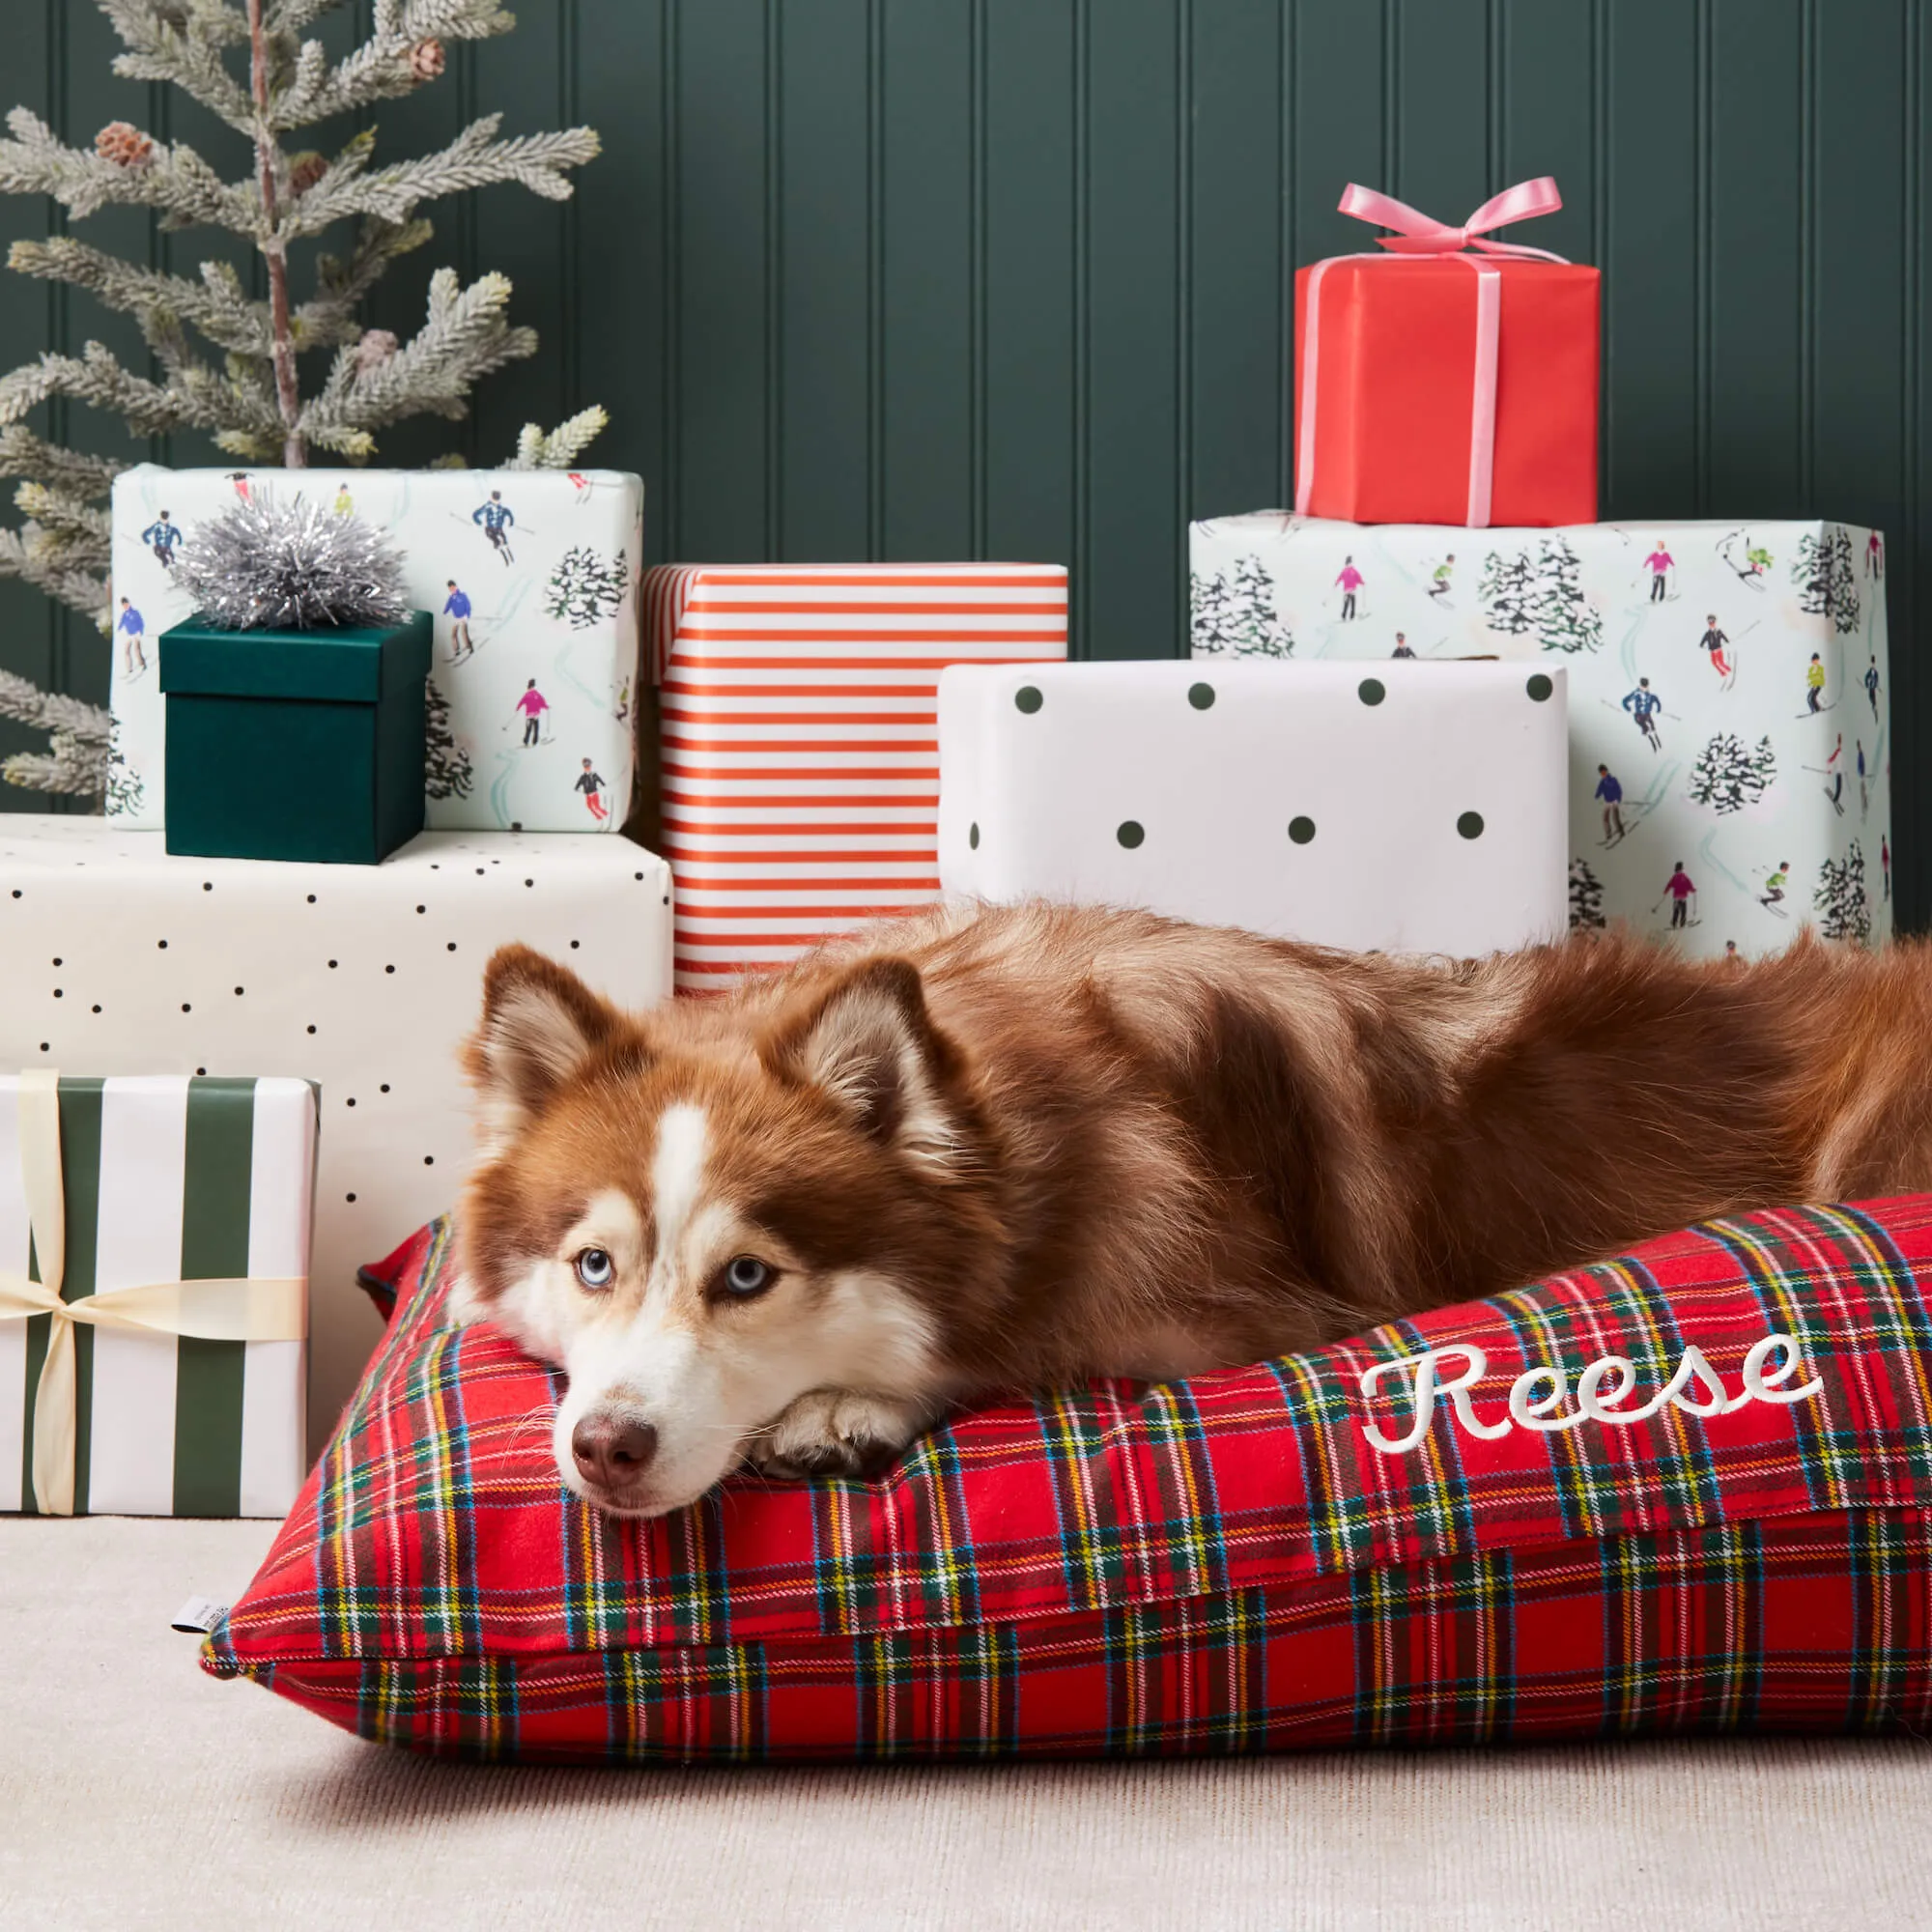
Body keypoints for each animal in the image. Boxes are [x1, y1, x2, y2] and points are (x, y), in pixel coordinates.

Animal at [448, 896, 1932, 1515]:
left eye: (748, 1276)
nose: (606, 1447)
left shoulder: (1254, 1317)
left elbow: (1029, 1346)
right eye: (593, 1264)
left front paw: (846, 1405)